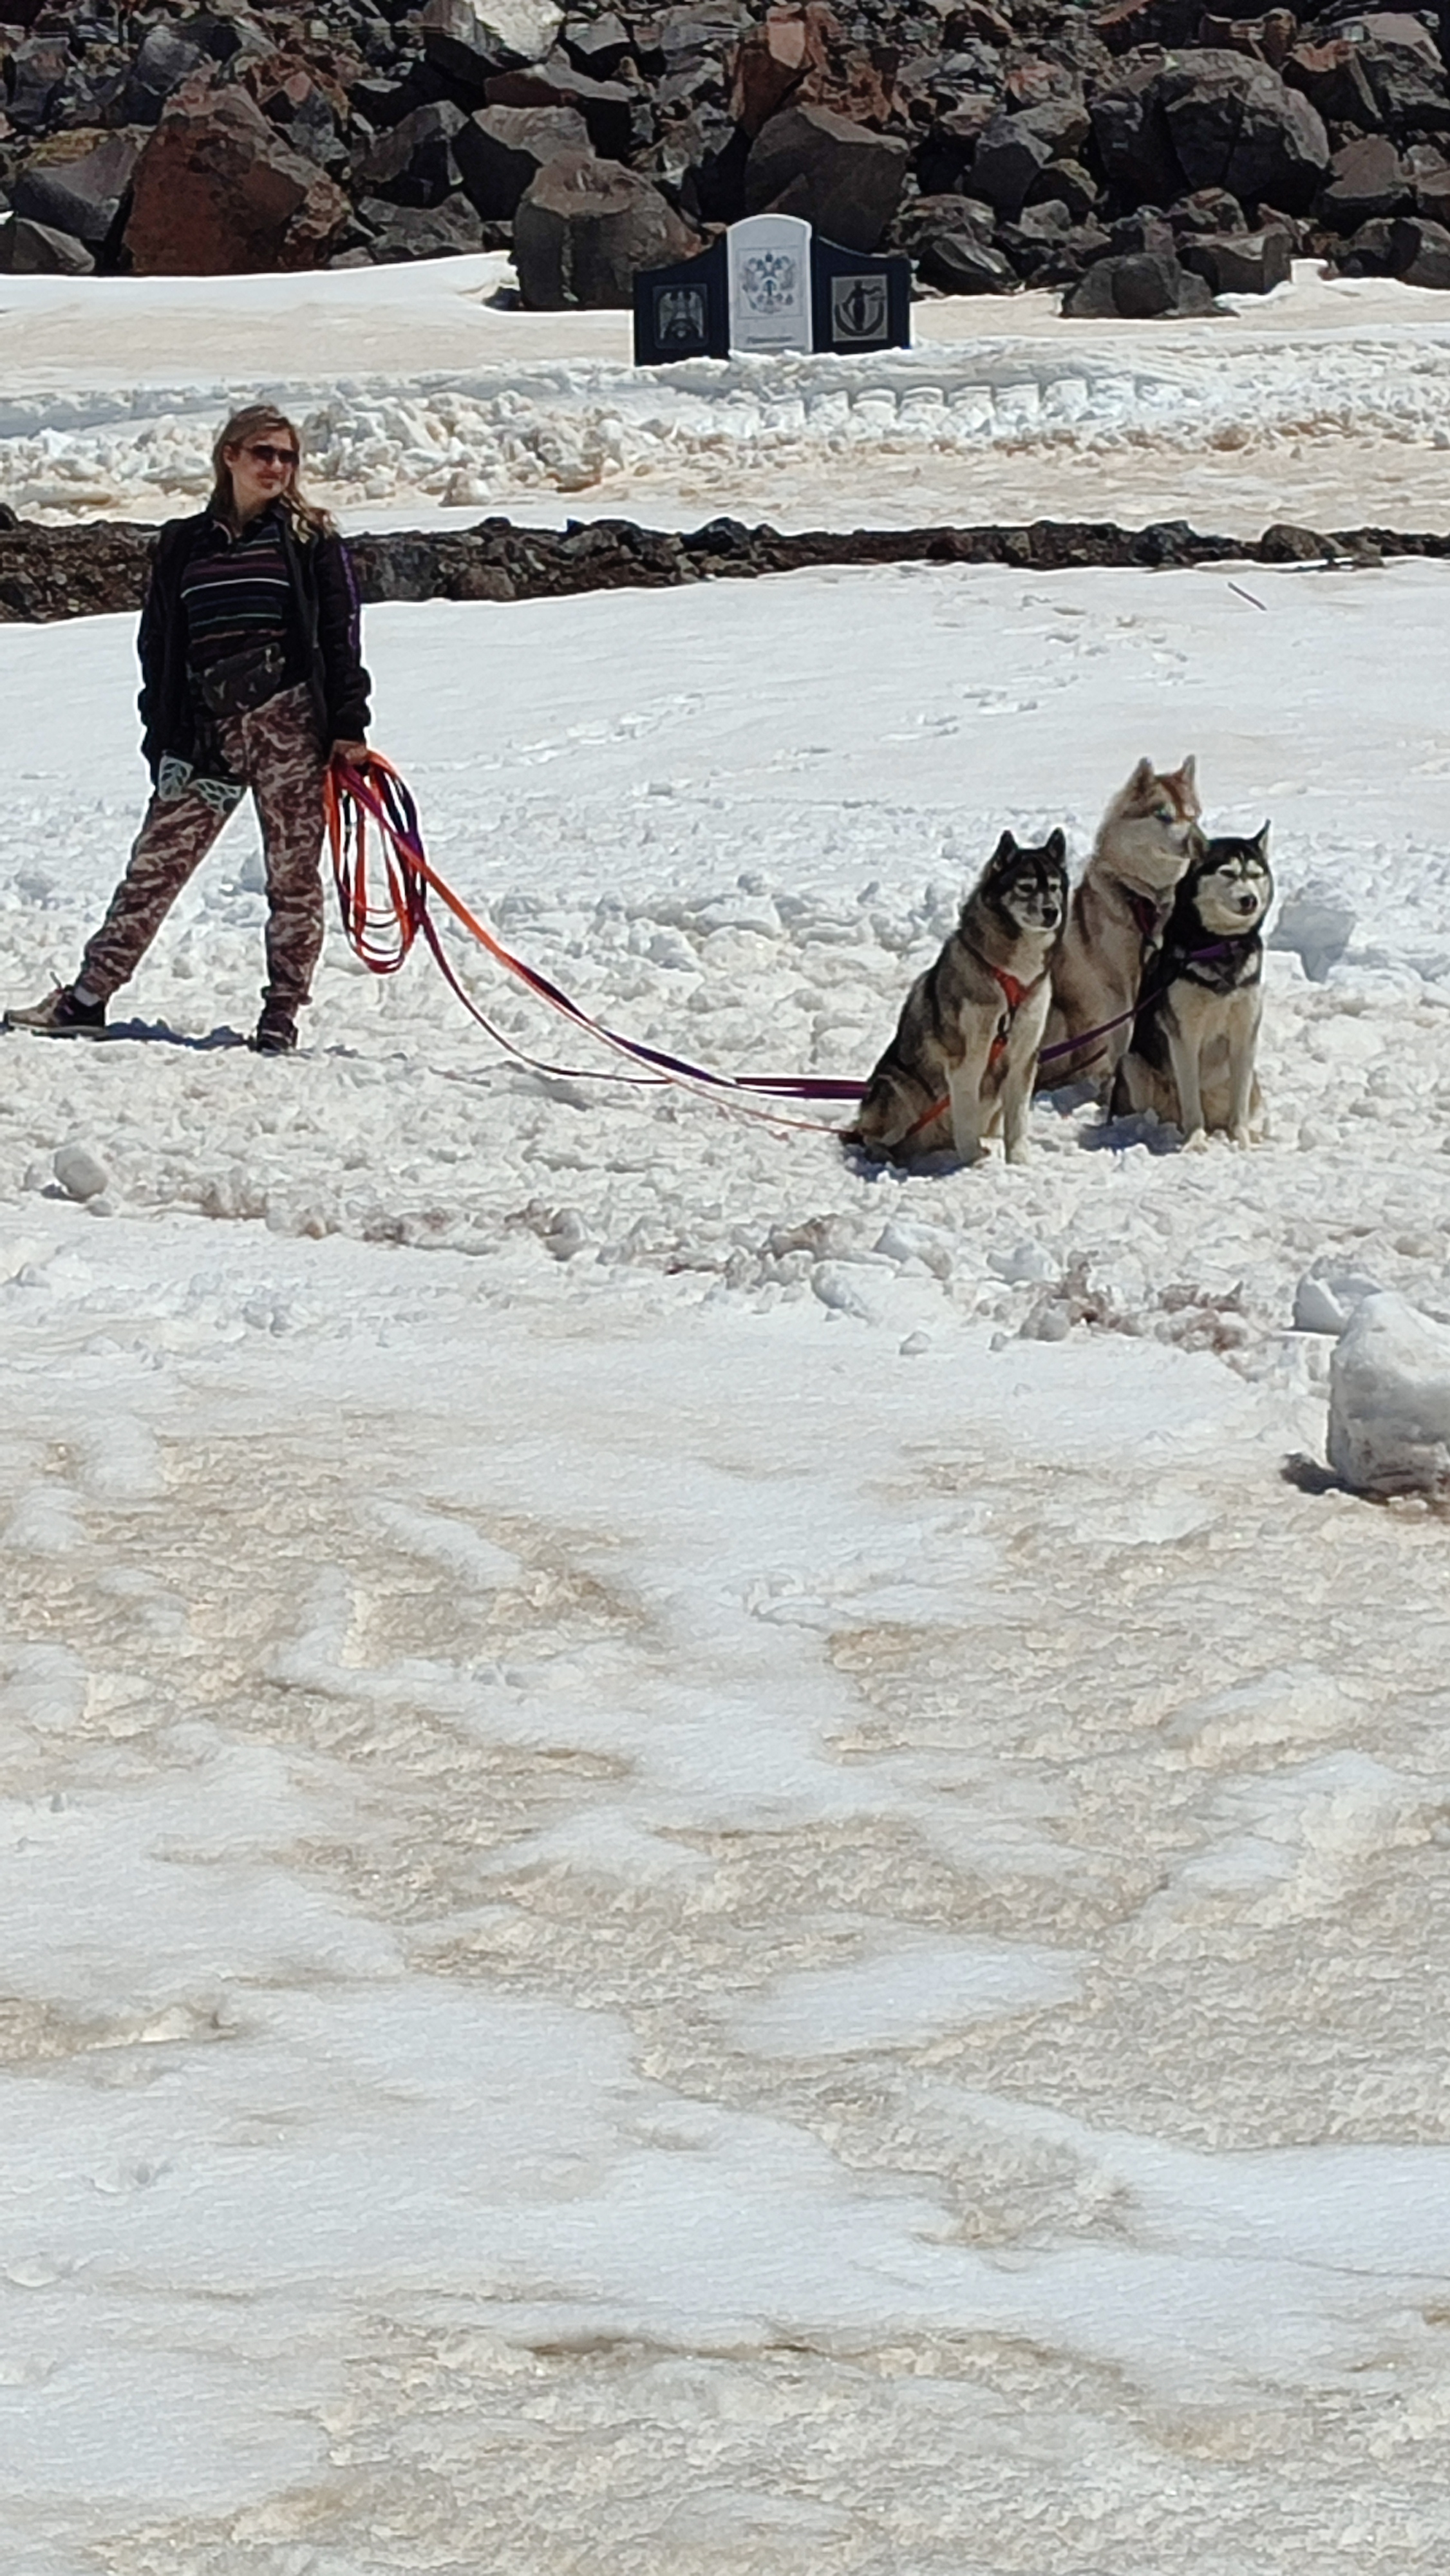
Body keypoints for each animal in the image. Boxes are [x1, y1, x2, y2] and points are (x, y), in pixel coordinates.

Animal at [848, 830, 1068, 1165]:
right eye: (1026, 887)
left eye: (1055, 887)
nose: (1052, 912)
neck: (1011, 975)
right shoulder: (967, 1056)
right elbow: (966, 1114)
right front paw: (974, 1160)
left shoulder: (1025, 1056)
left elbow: (1018, 1120)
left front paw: (1018, 1160)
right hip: (897, 1089)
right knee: (868, 1135)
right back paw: (884, 1154)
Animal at [1109, 828, 1273, 1147]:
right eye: (1228, 873)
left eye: (1256, 874)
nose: (1250, 900)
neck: (1221, 945)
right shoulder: (1184, 1035)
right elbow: (1191, 1098)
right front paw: (1195, 1142)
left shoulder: (1245, 1032)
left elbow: (1238, 1106)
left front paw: (1242, 1141)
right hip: (1132, 1065)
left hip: (1253, 1085)